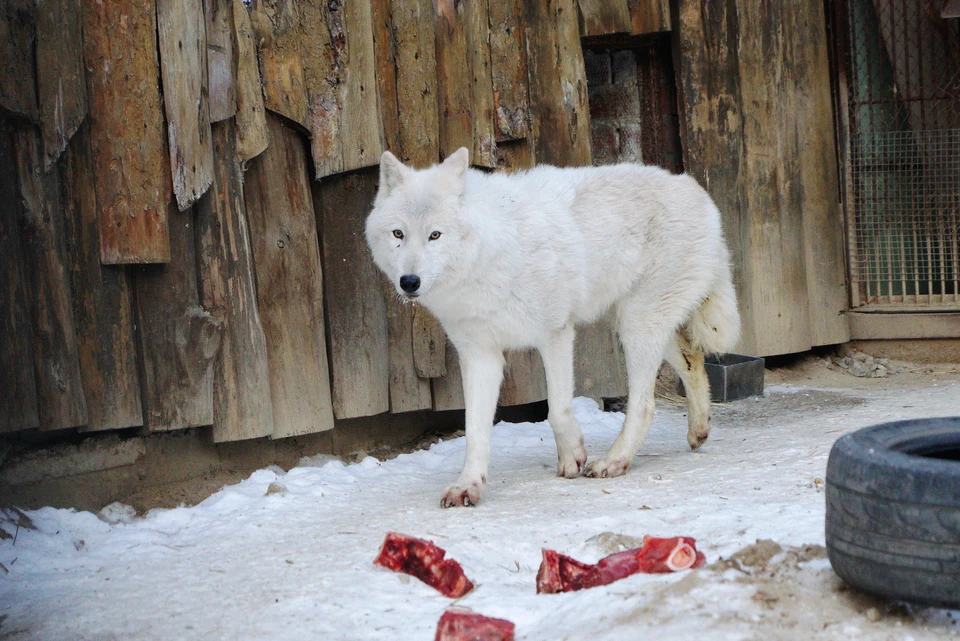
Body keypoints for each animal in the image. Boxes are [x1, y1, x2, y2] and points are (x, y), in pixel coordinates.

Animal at [364, 148, 740, 508]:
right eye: (398, 234)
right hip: (635, 323)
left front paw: (572, 457)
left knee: (646, 404)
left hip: (638, 325)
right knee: (692, 358)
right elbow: (475, 431)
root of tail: (694, 189)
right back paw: (698, 430)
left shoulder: (556, 334)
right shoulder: (480, 355)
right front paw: (468, 486)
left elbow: (557, 409)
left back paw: (614, 462)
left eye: (435, 235)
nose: (409, 282)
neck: (490, 257)